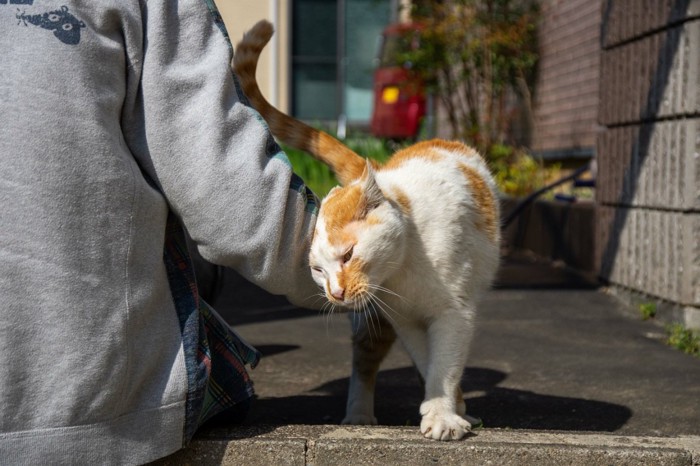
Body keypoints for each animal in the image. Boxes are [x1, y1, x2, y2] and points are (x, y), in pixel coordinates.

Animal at [232, 20, 500, 440]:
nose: (336, 293)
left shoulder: (453, 312)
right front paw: (444, 408)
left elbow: (445, 365)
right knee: (365, 358)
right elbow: (430, 365)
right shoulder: (404, 319)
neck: (406, 268)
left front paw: (445, 413)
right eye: (318, 269)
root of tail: (378, 169)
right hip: (374, 320)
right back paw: (359, 415)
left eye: (348, 254)